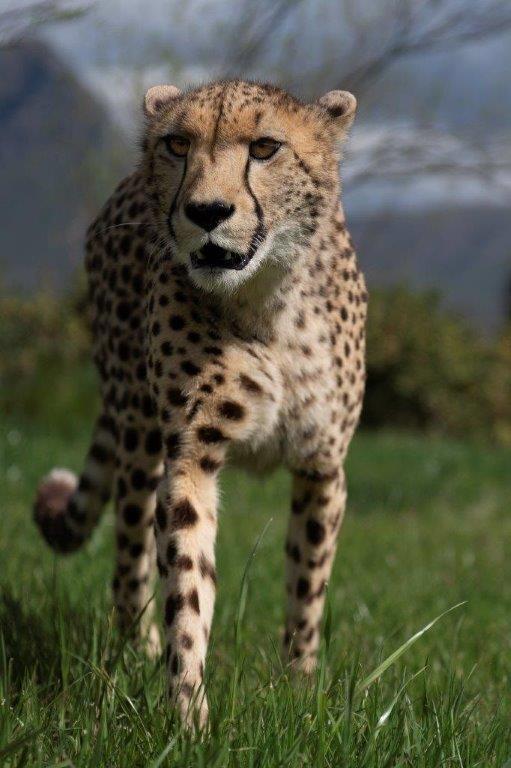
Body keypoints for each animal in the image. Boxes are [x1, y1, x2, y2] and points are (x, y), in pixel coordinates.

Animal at [33, 79, 367, 728]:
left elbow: (307, 585)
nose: (206, 212)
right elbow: (186, 582)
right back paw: (134, 651)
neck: (267, 300)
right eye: (178, 144)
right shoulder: (189, 456)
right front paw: (188, 711)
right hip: (138, 432)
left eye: (265, 147)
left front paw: (299, 687)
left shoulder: (323, 465)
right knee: (130, 552)